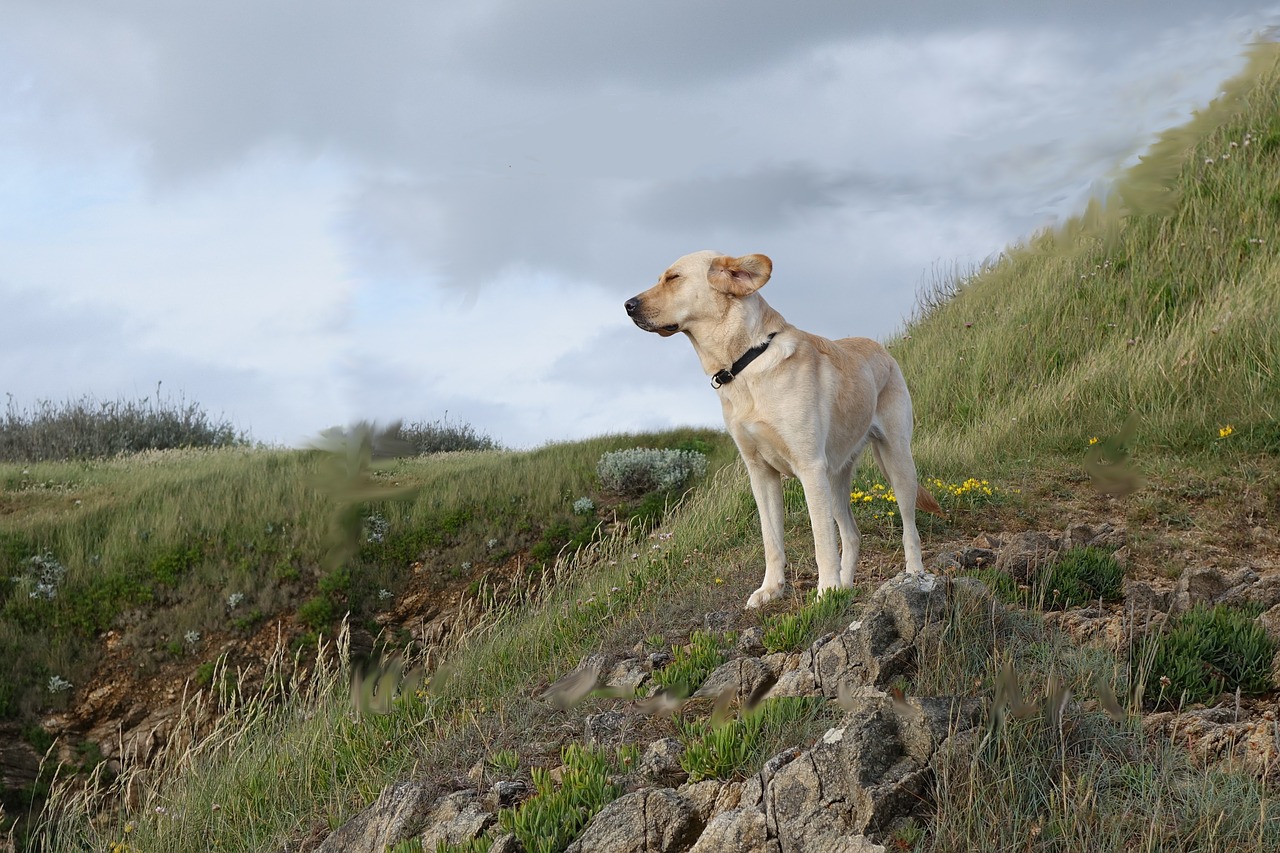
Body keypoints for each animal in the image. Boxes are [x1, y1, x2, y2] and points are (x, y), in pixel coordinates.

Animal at [624, 249, 947, 607]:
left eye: (673, 278)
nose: (627, 305)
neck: (744, 364)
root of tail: (880, 348)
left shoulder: (809, 468)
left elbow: (822, 540)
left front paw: (826, 590)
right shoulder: (761, 473)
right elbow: (772, 540)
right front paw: (772, 589)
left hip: (896, 463)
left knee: (909, 529)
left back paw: (913, 575)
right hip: (836, 479)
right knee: (852, 534)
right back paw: (846, 586)